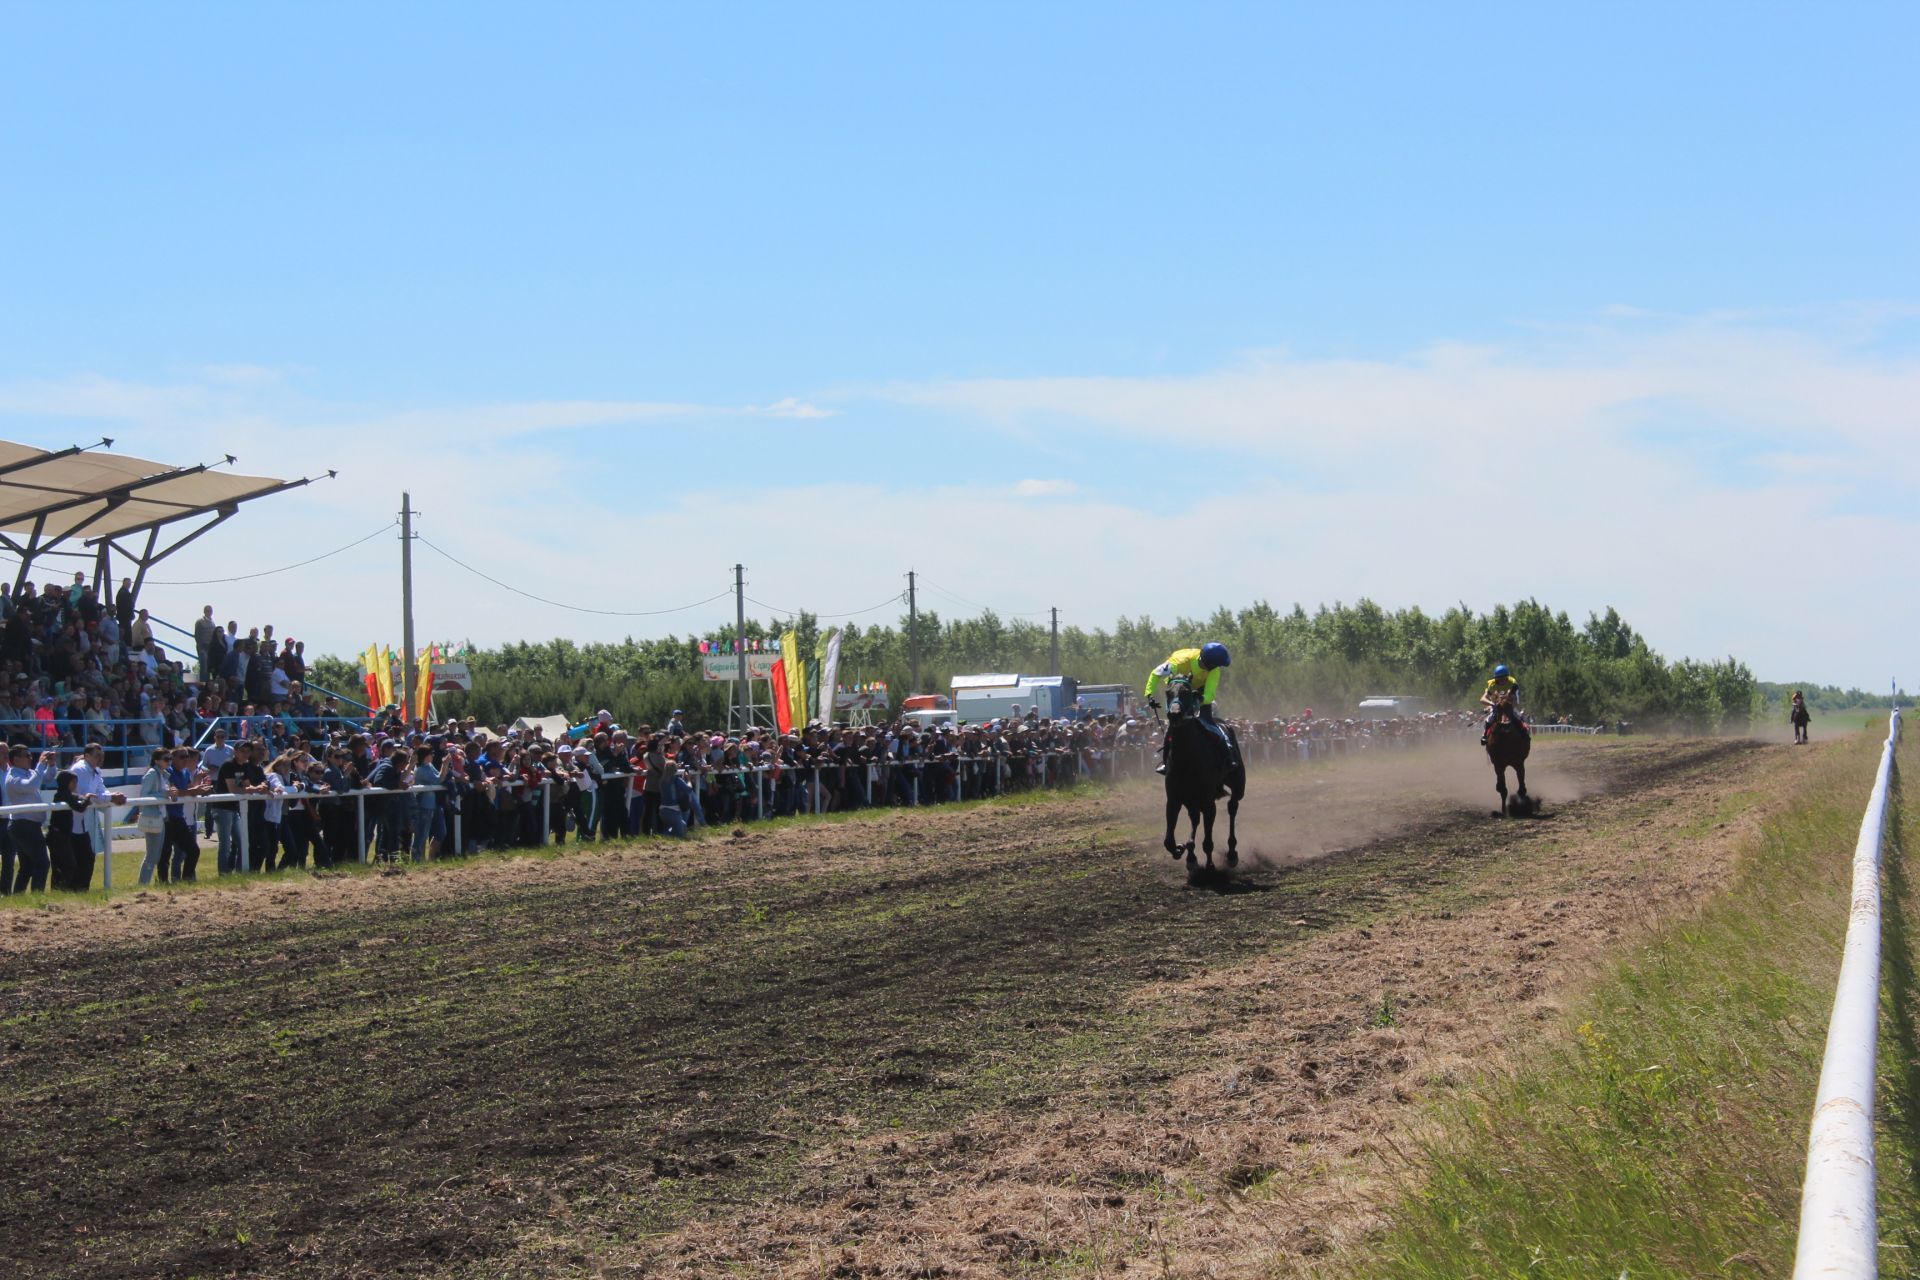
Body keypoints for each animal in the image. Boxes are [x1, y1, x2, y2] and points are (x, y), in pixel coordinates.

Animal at [1159, 687, 1251, 886]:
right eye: (1168, 692)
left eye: (1186, 692)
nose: (1175, 714)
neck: (1187, 758)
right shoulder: (1174, 799)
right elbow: (1169, 840)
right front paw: (1181, 849)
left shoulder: (1209, 803)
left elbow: (1208, 841)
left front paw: (1210, 867)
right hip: (1192, 800)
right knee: (1195, 819)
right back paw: (1191, 856)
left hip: (1238, 786)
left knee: (1232, 807)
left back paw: (1231, 854)